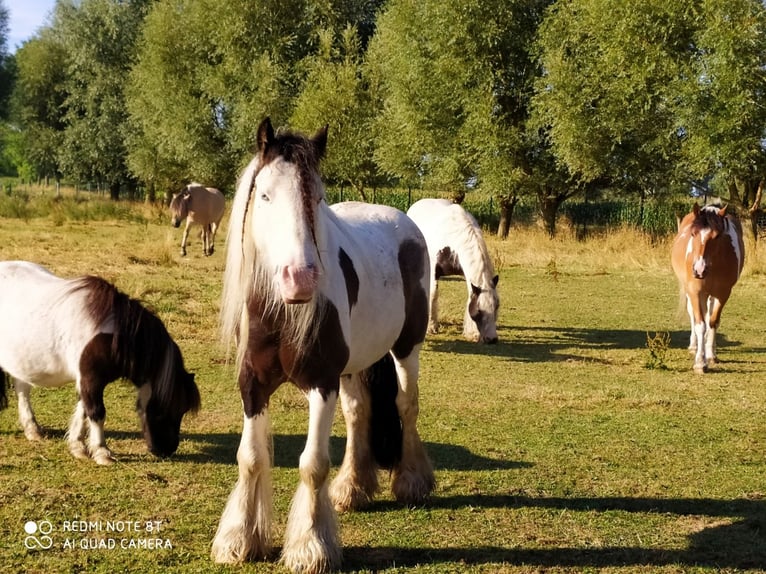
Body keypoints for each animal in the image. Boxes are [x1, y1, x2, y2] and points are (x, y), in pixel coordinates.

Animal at [0, 261, 201, 464]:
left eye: (183, 409)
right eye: (162, 410)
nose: (167, 450)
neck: (112, 336)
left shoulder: (86, 381)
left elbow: (83, 410)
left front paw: (78, 447)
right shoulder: (91, 379)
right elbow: (96, 413)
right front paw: (102, 452)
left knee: (22, 390)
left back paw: (33, 430)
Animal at [211, 118, 435, 573]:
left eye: (317, 197)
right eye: (265, 195)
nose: (300, 279)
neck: (280, 314)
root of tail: (402, 222)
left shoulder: (321, 383)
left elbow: (312, 464)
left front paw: (310, 546)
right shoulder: (253, 385)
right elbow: (250, 457)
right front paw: (240, 538)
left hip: (407, 348)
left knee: (406, 405)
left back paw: (411, 480)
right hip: (354, 366)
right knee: (358, 413)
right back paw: (352, 487)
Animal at [407, 198, 500, 344]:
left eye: (496, 306)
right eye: (479, 311)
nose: (492, 339)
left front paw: (472, 332)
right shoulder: (434, 270)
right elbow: (433, 295)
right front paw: (431, 327)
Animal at [671, 203, 744, 373]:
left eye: (716, 236)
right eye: (693, 233)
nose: (699, 270)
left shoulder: (723, 294)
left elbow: (712, 322)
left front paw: (710, 355)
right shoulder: (695, 292)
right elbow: (700, 324)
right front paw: (699, 362)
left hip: (710, 295)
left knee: (709, 315)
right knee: (694, 315)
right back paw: (694, 346)